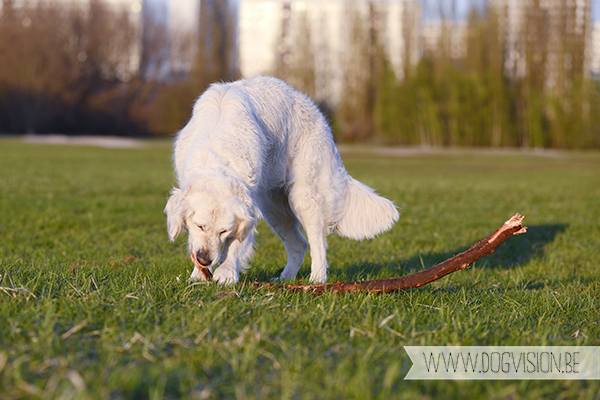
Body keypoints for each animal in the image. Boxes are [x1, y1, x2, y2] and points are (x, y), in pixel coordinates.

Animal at [164, 76, 398, 284]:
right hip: (274, 207)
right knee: (299, 245)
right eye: (200, 226)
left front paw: (226, 272)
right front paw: (198, 275)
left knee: (317, 243)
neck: (216, 156)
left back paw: (316, 280)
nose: (205, 259)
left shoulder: (247, 212)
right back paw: (285, 279)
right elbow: (196, 243)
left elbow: (234, 245)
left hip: (303, 198)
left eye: (224, 231)